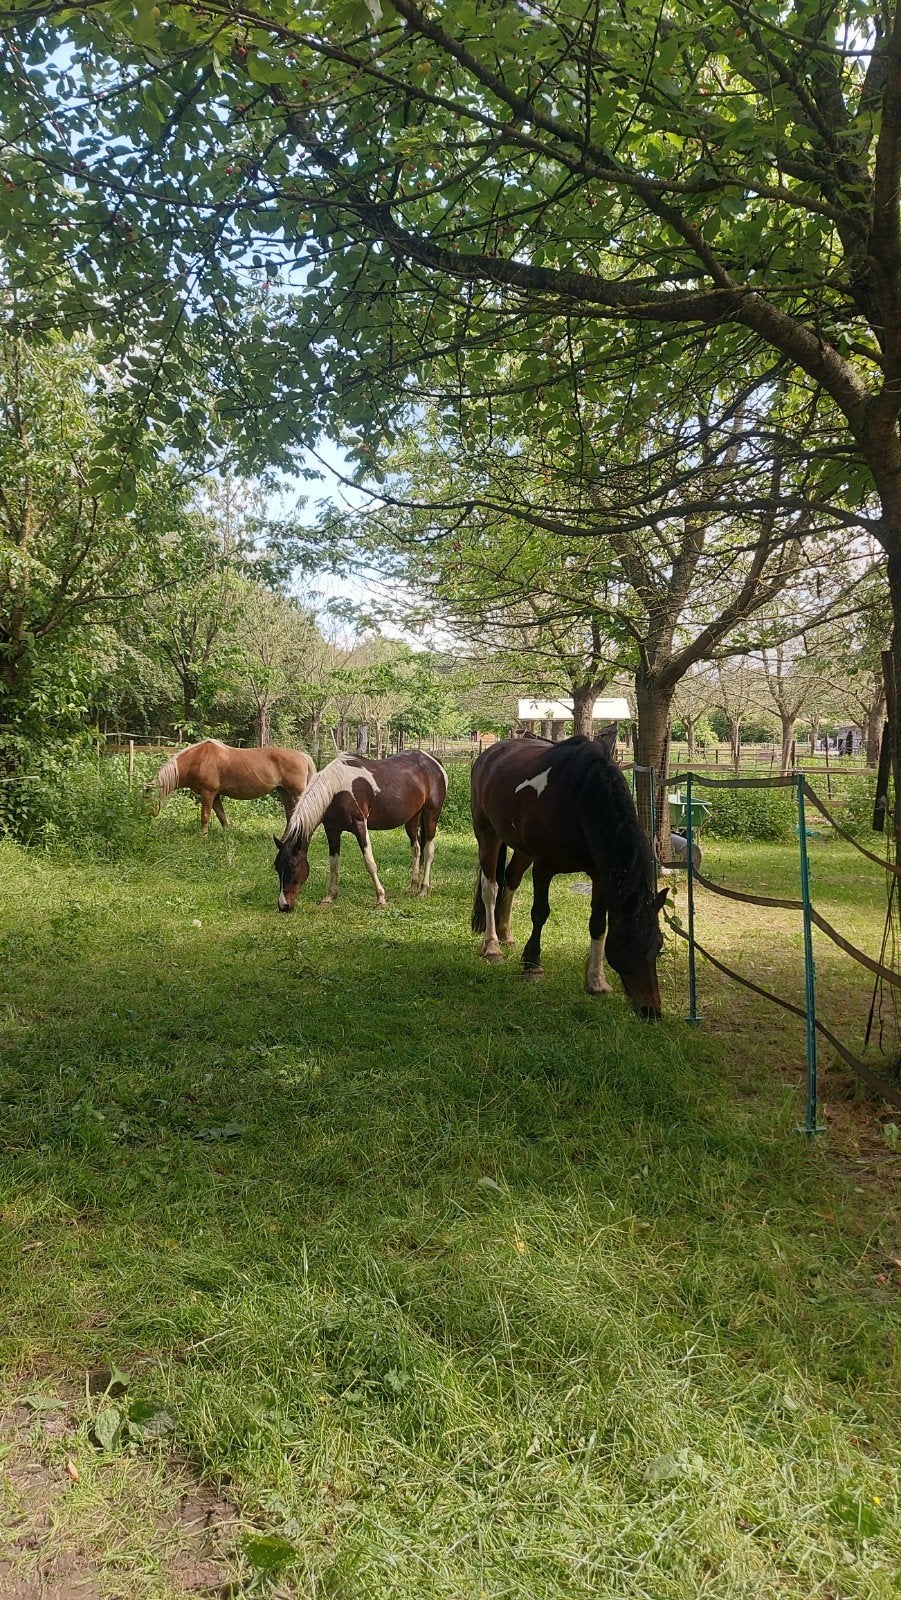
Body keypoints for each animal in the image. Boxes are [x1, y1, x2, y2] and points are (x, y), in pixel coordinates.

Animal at [150, 739, 316, 838]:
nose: (149, 816)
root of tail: (302, 756)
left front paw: (203, 839)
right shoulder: (216, 796)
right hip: (284, 792)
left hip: (297, 793)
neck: (198, 759)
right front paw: (228, 837)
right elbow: (222, 818)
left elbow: (205, 817)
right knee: (290, 816)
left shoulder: (208, 793)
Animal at [273, 749, 448, 911]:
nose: (284, 905)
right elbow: (333, 863)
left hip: (431, 815)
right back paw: (413, 886)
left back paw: (423, 890)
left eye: (292, 867)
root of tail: (433, 761)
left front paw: (381, 898)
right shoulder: (332, 830)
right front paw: (329, 897)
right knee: (416, 849)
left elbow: (370, 862)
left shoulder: (360, 826)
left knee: (428, 851)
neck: (335, 790)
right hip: (412, 819)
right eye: (277, 867)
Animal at [470, 731, 667, 1019]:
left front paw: (597, 981)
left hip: (521, 848)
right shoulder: (544, 867)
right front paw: (532, 965)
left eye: (658, 946)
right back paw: (492, 946)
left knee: (511, 880)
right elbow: (540, 913)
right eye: (628, 945)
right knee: (491, 887)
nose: (651, 1010)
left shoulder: (599, 874)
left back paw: (506, 934)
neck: (578, 797)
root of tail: (489, 753)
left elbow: (598, 924)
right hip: (487, 833)